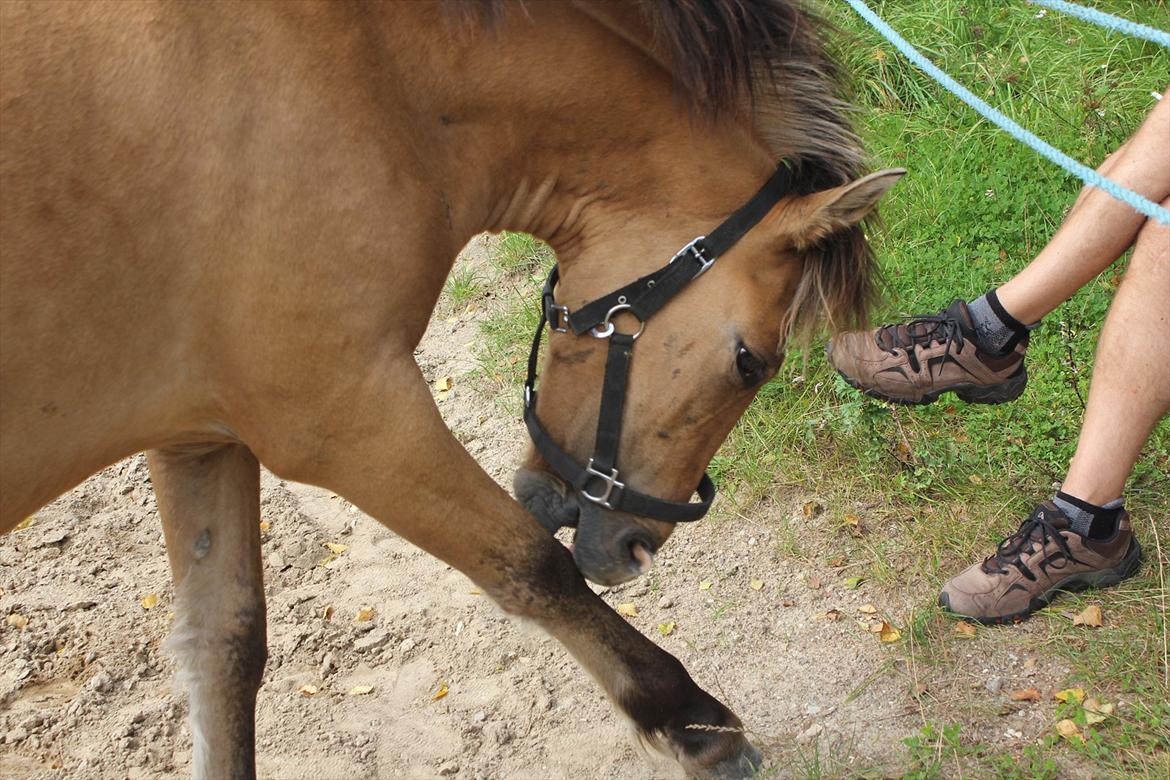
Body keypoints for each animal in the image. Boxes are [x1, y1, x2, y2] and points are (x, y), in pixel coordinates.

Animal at [0, 3, 903, 776]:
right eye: (751, 362)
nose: (637, 546)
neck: (382, 80)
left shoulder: (198, 435)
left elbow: (222, 646)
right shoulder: (348, 419)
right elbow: (531, 564)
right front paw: (696, 726)